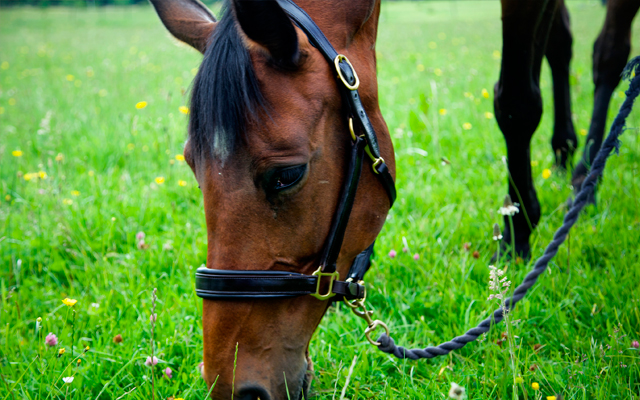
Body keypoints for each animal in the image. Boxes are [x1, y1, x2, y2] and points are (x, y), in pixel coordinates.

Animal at [496, 0, 639, 257]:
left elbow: (518, 101)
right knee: (562, 44)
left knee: (609, 54)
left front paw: (515, 236)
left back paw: (586, 180)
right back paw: (564, 152)